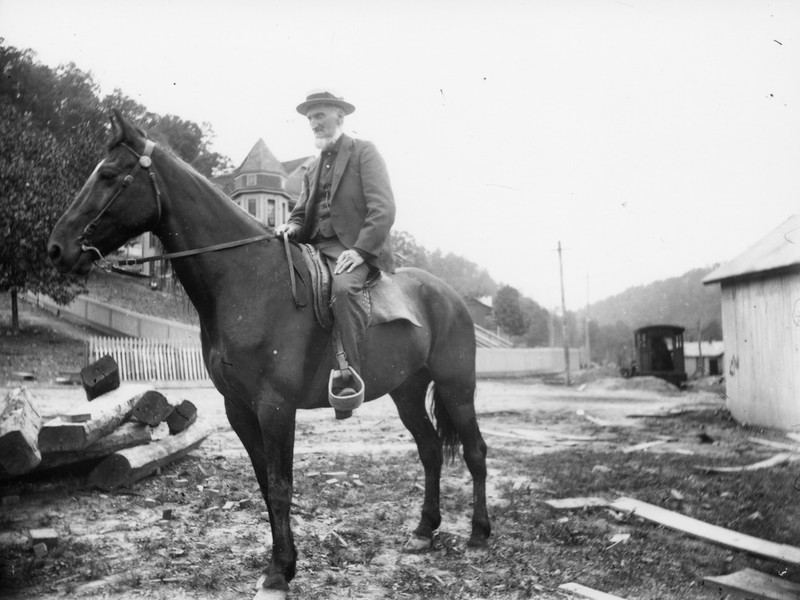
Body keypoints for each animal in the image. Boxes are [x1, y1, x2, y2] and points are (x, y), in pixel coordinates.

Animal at [50, 110, 490, 596]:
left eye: (109, 175)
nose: (57, 248)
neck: (247, 280)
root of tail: (450, 297)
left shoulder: (276, 406)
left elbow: (280, 485)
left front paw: (279, 572)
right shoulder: (240, 408)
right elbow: (264, 483)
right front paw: (285, 562)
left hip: (456, 386)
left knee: (475, 452)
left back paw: (478, 534)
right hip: (407, 391)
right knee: (430, 450)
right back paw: (424, 531)